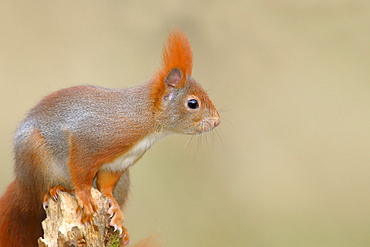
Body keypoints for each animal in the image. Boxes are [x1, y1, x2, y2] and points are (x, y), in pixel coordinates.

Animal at [0, 29, 220, 247]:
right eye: (193, 103)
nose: (217, 122)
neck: (147, 121)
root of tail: (20, 180)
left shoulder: (118, 163)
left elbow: (106, 187)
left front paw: (114, 208)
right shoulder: (90, 140)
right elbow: (81, 173)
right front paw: (85, 197)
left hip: (124, 180)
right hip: (35, 156)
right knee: (37, 193)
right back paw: (53, 190)